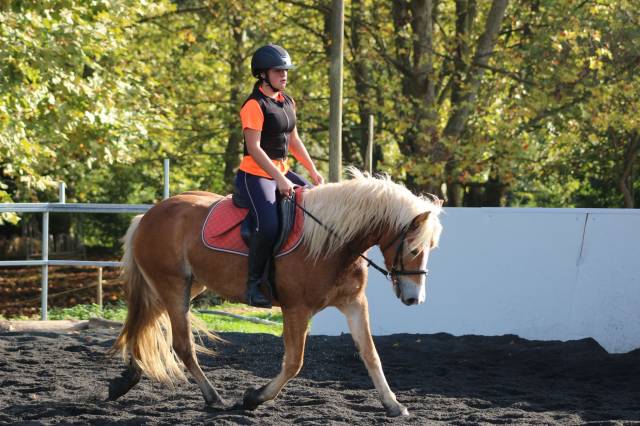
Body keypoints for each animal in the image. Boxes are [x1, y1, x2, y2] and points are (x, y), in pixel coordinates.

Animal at [109, 168, 443, 417]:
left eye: (430, 248)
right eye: (414, 249)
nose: (415, 299)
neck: (333, 241)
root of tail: (149, 215)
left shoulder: (354, 303)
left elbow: (371, 355)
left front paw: (393, 404)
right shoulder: (296, 309)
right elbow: (294, 362)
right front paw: (254, 397)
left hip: (187, 286)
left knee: (144, 323)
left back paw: (127, 379)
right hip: (173, 287)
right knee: (181, 345)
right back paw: (213, 398)